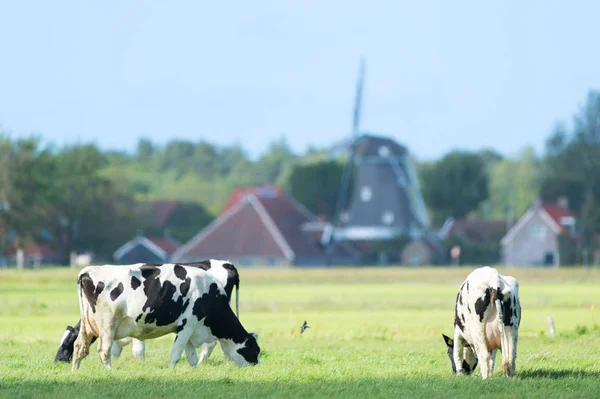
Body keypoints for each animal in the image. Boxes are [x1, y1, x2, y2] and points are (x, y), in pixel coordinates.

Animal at [70, 262, 258, 372]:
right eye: (256, 350)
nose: (257, 366)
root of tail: (88, 270)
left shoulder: (190, 329)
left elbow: (191, 356)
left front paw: (194, 372)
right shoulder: (187, 325)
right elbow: (176, 352)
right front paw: (171, 371)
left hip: (87, 326)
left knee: (79, 346)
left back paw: (75, 371)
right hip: (108, 323)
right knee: (104, 350)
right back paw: (110, 372)